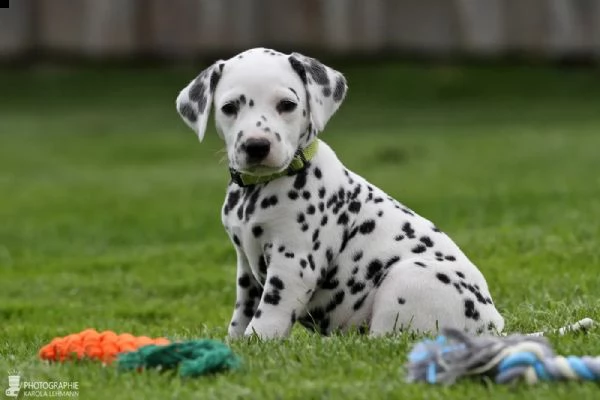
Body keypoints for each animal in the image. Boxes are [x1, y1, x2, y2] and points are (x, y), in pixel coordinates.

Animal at [176, 48, 504, 340]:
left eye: (287, 104)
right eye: (229, 108)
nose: (257, 145)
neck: (261, 189)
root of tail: (494, 325)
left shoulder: (293, 263)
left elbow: (267, 316)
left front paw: (256, 344)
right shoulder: (246, 265)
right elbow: (242, 315)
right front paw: (235, 343)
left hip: (407, 278)